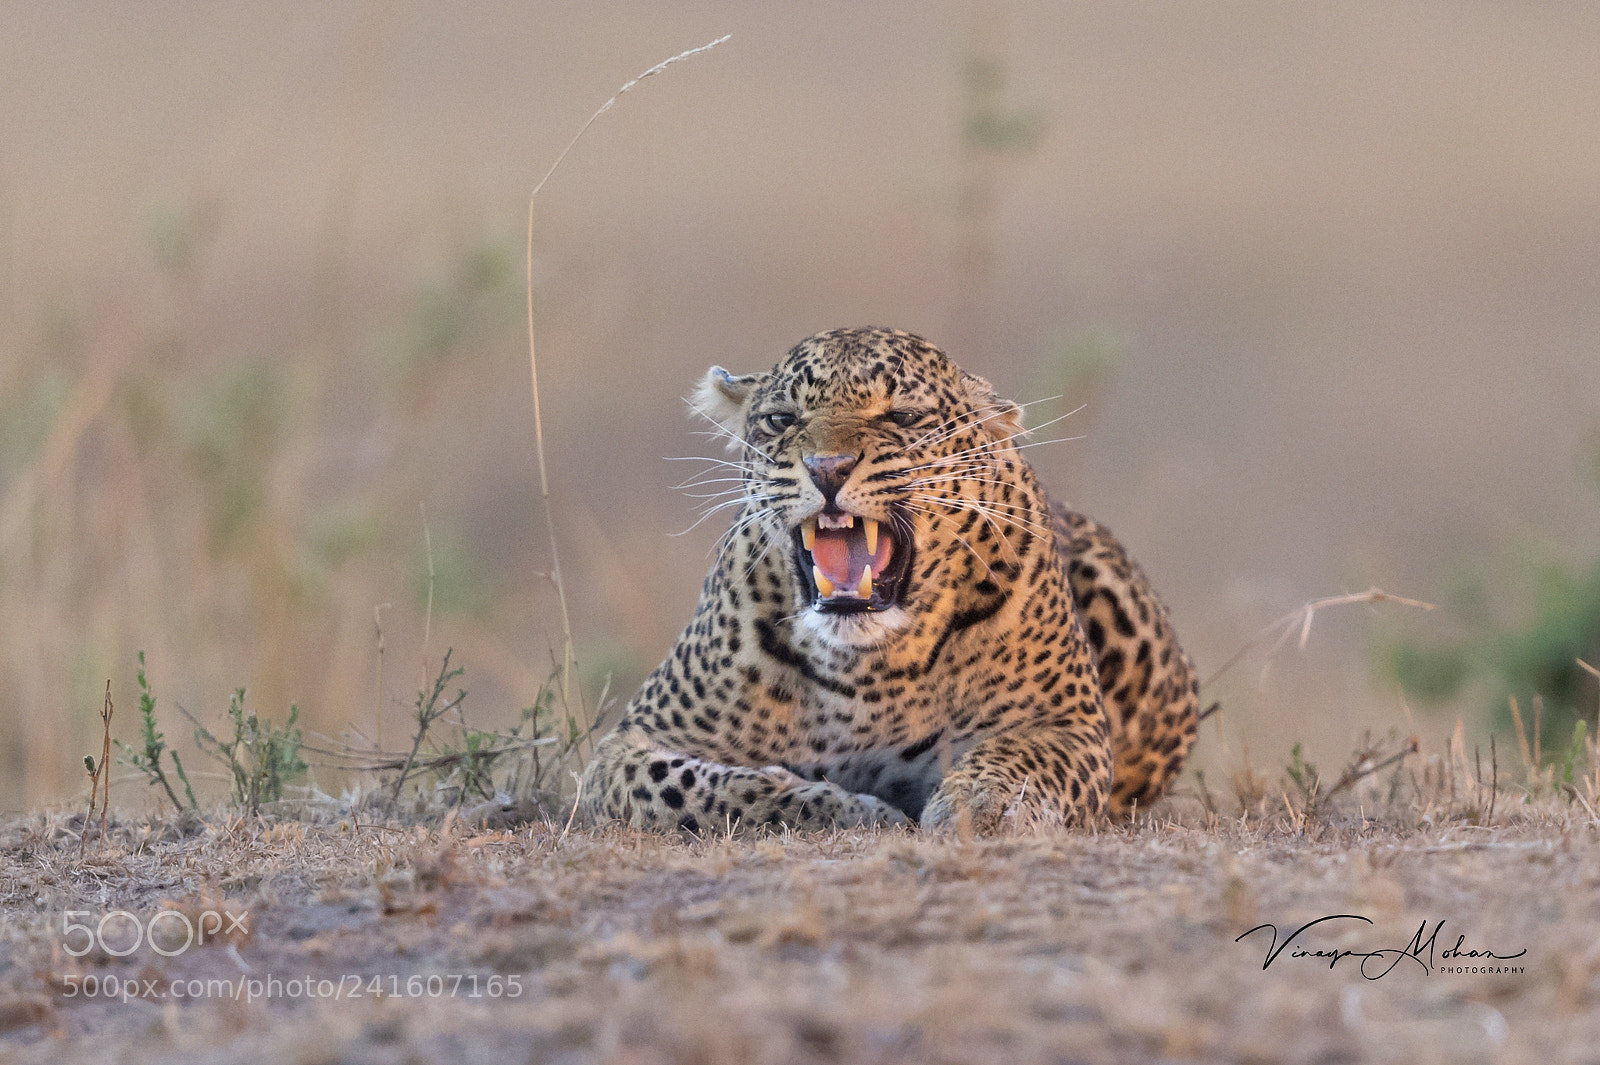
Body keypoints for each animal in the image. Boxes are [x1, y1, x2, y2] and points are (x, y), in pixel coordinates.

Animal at [578, 326, 1198, 834]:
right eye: (782, 420)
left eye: (900, 417)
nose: (827, 468)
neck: (864, 671)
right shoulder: (633, 744)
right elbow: (702, 789)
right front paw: (847, 809)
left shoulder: (1065, 723)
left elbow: (1018, 760)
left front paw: (979, 806)